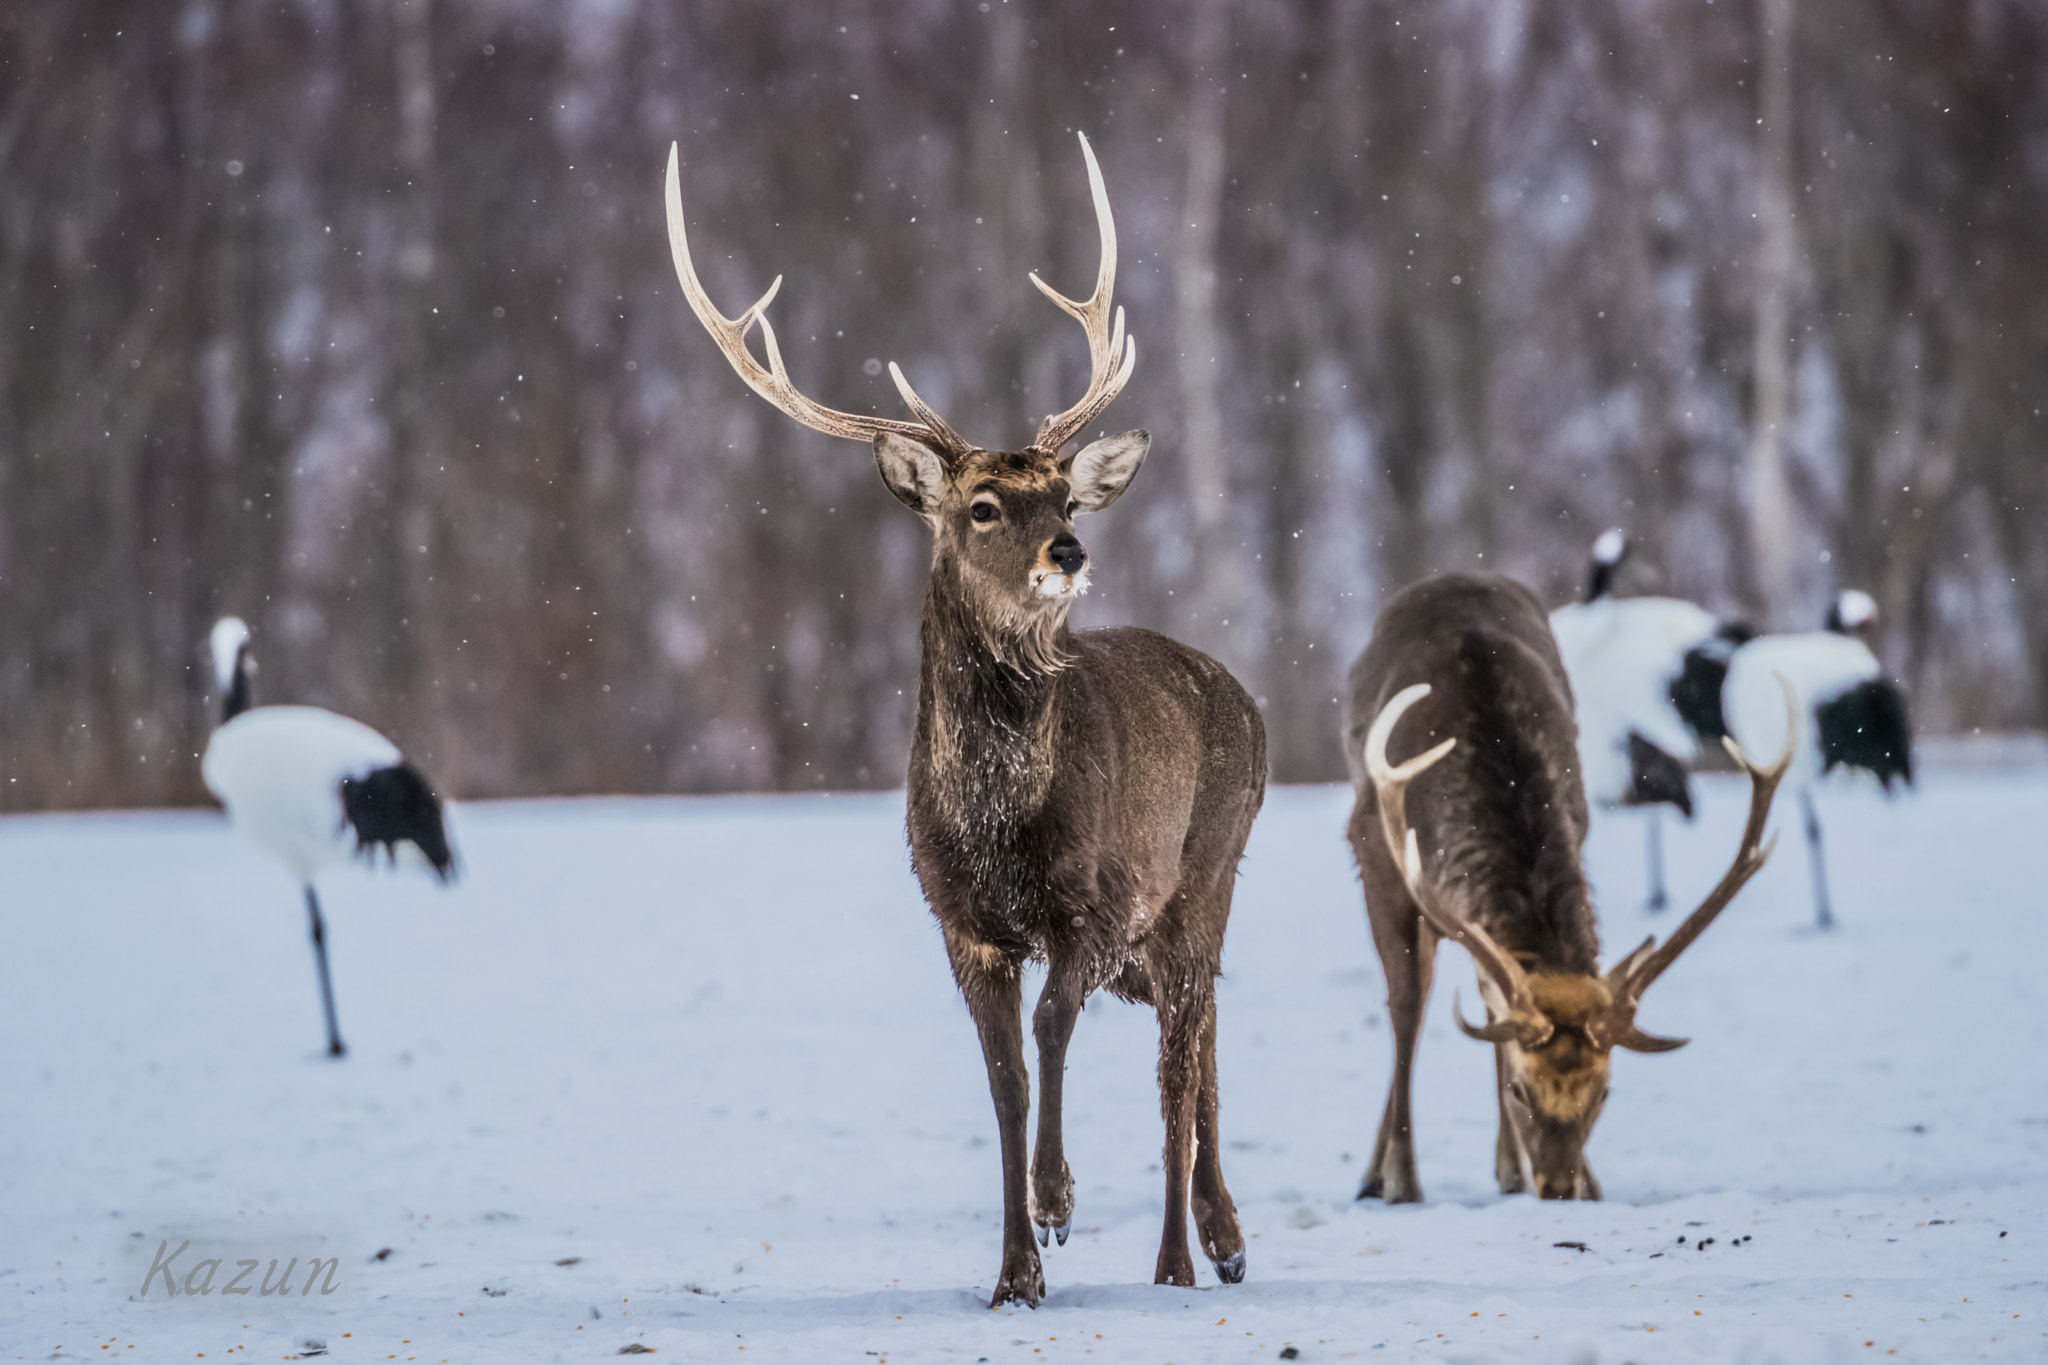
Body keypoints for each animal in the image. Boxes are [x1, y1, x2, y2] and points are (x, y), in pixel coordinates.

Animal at [662, 133, 1266, 1306]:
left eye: (1064, 498)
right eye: (982, 506)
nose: (1068, 550)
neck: (994, 821)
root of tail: (1249, 700)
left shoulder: (1096, 904)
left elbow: (1050, 1028)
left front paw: (1058, 1201)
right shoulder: (960, 923)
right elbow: (1002, 1079)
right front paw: (1014, 1273)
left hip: (1203, 875)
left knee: (1181, 1060)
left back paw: (1179, 1257)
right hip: (1167, 927)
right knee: (1205, 1039)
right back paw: (1224, 1240)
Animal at [1340, 574, 1793, 1202]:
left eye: (1603, 1093)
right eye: (1521, 1091)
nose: (1558, 1186)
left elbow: (1492, 1003)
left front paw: (1586, 1181)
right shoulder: (1374, 852)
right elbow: (1406, 1007)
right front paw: (1401, 1180)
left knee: (1485, 993)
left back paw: (1508, 1169)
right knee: (1420, 1003)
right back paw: (1377, 1174)